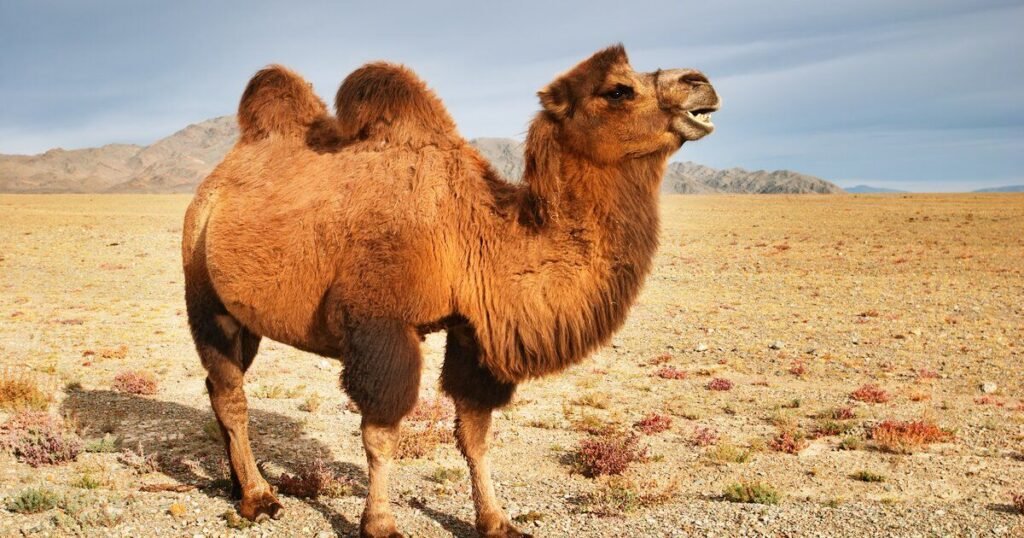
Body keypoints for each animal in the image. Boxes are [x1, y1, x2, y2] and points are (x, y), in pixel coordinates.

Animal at [182, 44, 719, 537]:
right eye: (618, 90)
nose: (701, 82)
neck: (475, 230)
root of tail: (216, 180)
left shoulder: (473, 329)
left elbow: (475, 432)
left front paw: (496, 520)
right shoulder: (379, 323)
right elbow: (381, 432)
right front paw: (380, 524)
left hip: (245, 315)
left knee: (219, 385)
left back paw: (236, 483)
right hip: (204, 293)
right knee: (231, 393)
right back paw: (258, 498)